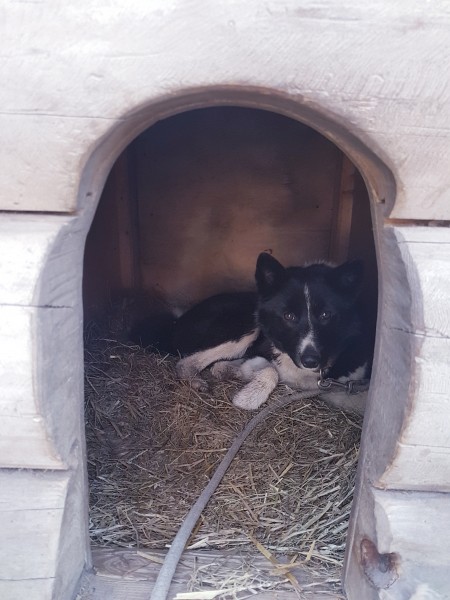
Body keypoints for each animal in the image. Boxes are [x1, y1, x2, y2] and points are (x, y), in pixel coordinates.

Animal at [133, 253, 374, 415]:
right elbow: (272, 371)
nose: (310, 360)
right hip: (245, 324)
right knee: (187, 363)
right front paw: (248, 398)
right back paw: (198, 382)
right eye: (288, 316)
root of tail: (177, 321)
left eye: (325, 315)